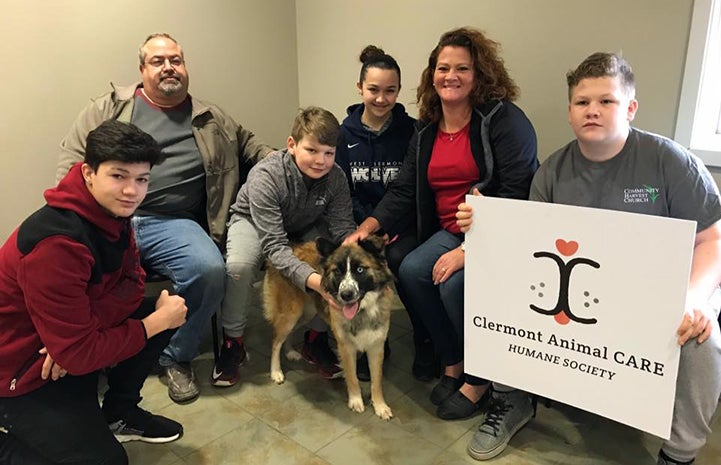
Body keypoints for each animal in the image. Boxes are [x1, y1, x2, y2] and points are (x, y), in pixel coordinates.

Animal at [264, 234, 396, 418]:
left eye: (360, 269)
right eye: (338, 271)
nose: (346, 295)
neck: (362, 311)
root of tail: (291, 247)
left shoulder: (376, 346)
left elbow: (376, 379)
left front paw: (379, 405)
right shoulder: (346, 347)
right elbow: (352, 376)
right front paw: (356, 401)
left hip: (306, 314)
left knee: (287, 335)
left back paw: (290, 352)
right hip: (291, 314)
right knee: (276, 341)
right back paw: (276, 371)